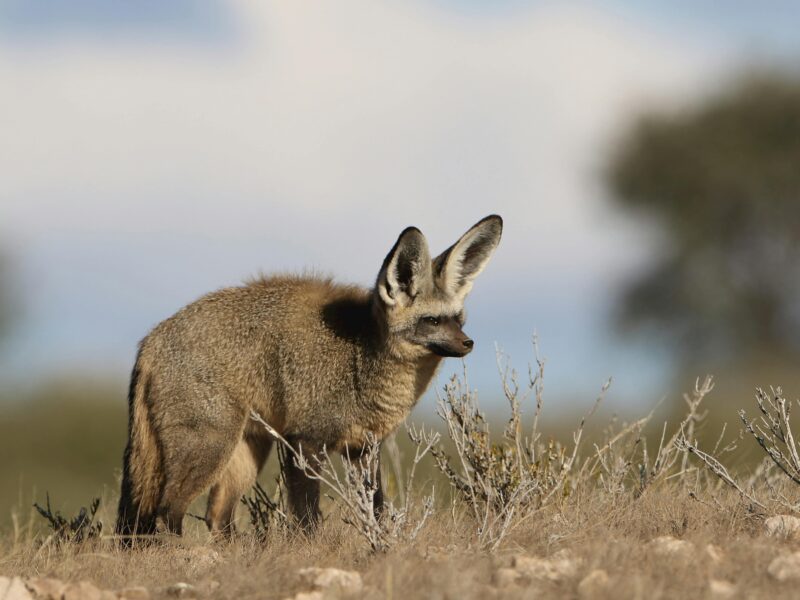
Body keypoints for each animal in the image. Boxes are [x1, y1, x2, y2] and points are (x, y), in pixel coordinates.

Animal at [116, 215, 502, 539]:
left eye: (458, 319)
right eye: (432, 321)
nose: (468, 343)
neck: (360, 362)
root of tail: (150, 339)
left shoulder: (364, 448)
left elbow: (377, 513)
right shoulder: (303, 440)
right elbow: (307, 520)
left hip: (245, 454)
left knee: (216, 518)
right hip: (210, 448)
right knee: (166, 513)